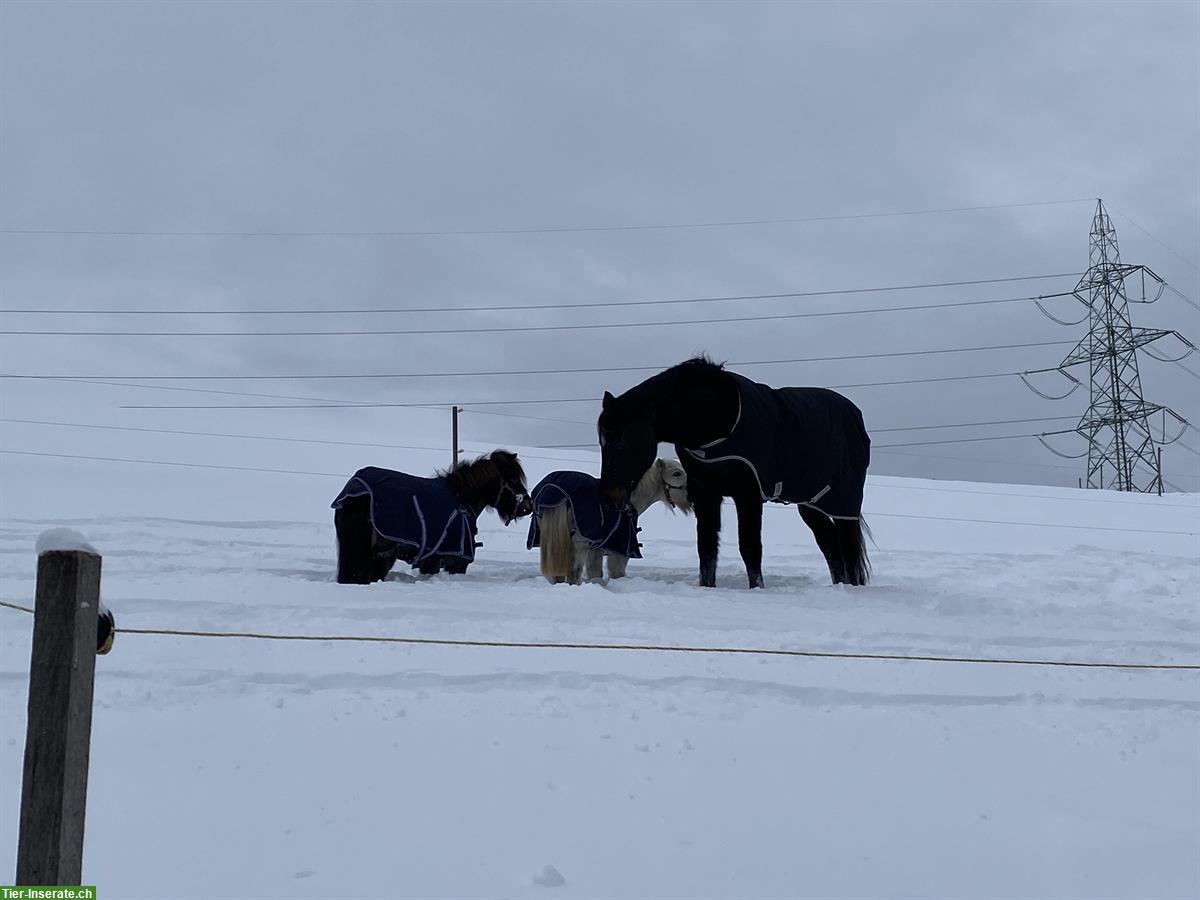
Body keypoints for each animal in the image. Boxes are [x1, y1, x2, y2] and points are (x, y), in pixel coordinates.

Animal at [331, 448, 532, 585]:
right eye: (513, 481)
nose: (527, 507)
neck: (461, 497)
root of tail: (361, 493)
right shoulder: (454, 560)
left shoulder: (431, 560)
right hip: (383, 554)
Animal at [528, 458, 696, 585]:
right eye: (676, 473)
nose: (694, 493)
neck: (629, 501)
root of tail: (553, 488)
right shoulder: (618, 549)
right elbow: (615, 572)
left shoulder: (596, 548)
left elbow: (595, 572)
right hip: (579, 542)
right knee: (573, 572)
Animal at [600, 355, 873, 595]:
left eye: (620, 440)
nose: (609, 497)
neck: (717, 421)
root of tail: (855, 414)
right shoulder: (706, 494)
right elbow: (707, 547)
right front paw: (707, 588)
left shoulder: (748, 496)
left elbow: (750, 547)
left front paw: (757, 590)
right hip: (811, 504)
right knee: (831, 547)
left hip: (843, 502)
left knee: (848, 549)